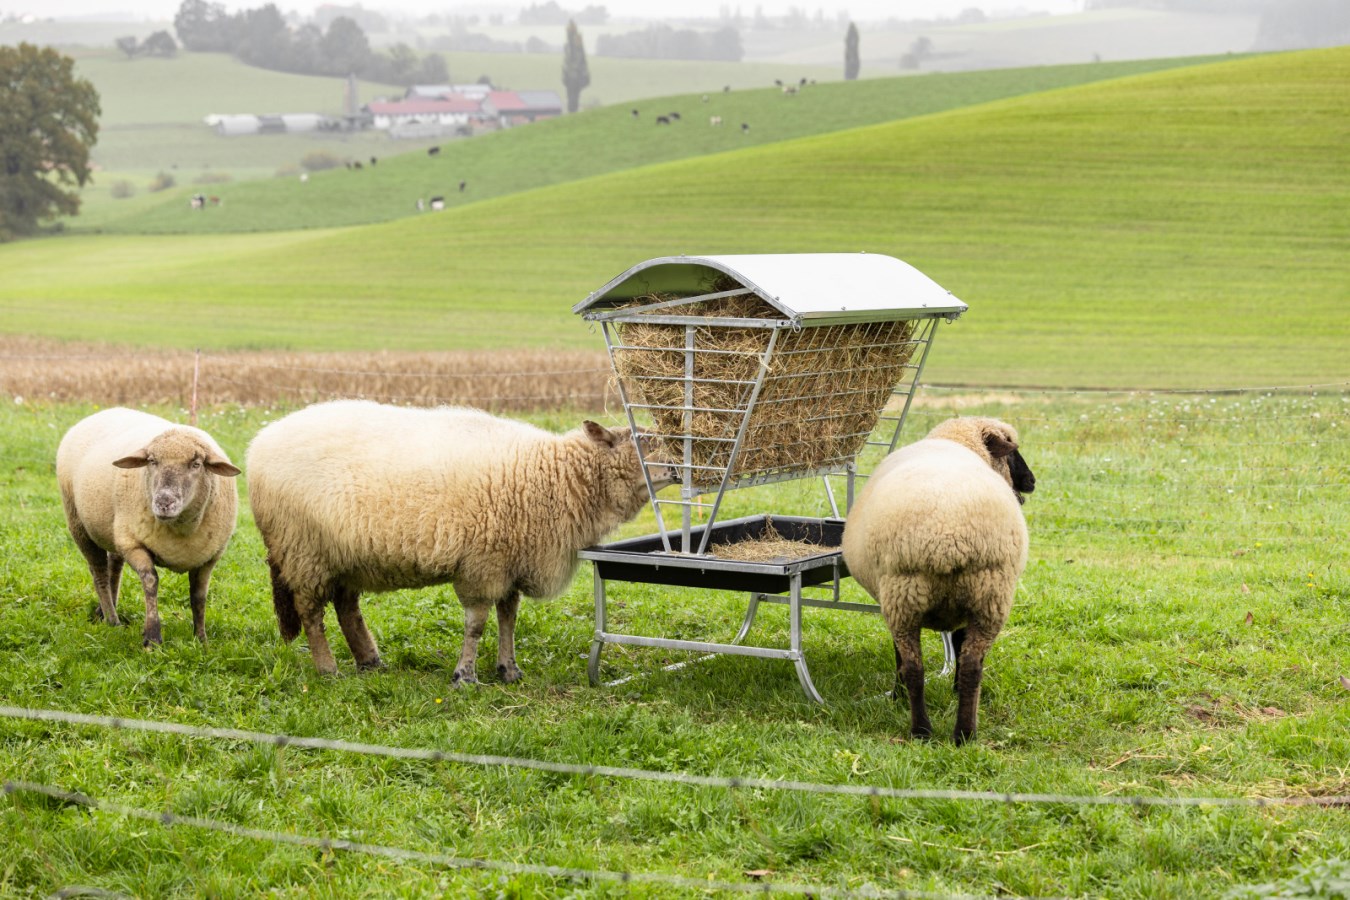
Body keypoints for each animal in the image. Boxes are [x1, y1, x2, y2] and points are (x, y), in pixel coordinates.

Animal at [56, 408, 241, 647]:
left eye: (196, 464)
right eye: (152, 461)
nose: (163, 502)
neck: (180, 528)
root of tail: (102, 412)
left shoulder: (209, 557)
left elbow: (199, 596)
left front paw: (201, 639)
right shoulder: (134, 544)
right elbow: (151, 582)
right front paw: (152, 638)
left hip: (116, 530)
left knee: (114, 566)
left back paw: (105, 611)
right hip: (80, 525)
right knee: (100, 573)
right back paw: (112, 620)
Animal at [245, 401, 673, 683]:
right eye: (640, 440)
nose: (674, 467)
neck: (555, 475)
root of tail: (259, 442)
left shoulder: (508, 561)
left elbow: (508, 619)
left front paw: (508, 669)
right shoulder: (482, 564)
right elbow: (477, 624)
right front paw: (465, 675)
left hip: (344, 553)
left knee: (347, 608)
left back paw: (370, 661)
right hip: (303, 550)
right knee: (311, 613)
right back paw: (328, 668)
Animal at [842, 417, 1035, 745]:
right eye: (1012, 452)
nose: (1032, 481)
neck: (957, 441)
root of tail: (948, 537)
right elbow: (955, 641)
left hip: (924, 596)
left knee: (923, 666)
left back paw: (933, 730)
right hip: (978, 596)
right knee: (956, 666)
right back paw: (951, 731)